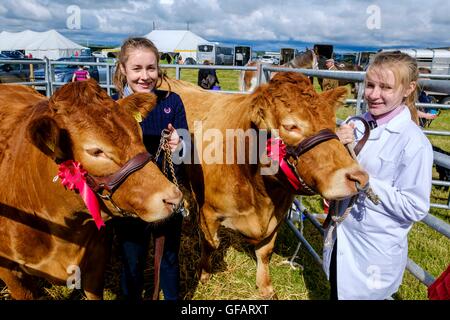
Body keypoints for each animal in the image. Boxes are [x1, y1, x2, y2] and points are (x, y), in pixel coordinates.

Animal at [162, 72, 370, 298]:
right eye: (291, 126)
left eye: (333, 124)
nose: (358, 177)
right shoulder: (209, 213)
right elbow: (210, 245)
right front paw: (204, 274)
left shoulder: (278, 214)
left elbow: (265, 251)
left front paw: (265, 286)